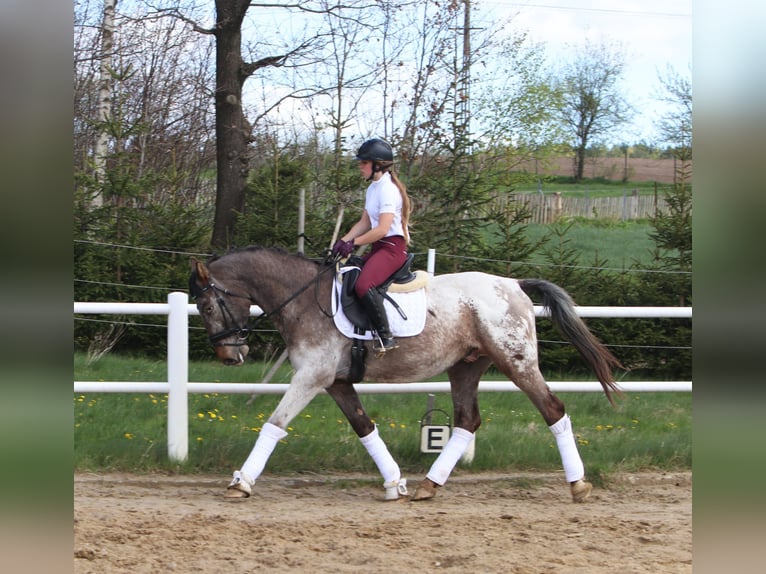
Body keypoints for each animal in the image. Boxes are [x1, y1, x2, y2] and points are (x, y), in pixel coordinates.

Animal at [190, 246, 624, 504]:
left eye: (208, 306)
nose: (230, 356)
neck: (305, 299)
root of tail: (513, 283)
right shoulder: (337, 382)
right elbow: (365, 428)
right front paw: (394, 482)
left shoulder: (311, 378)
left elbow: (274, 424)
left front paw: (241, 482)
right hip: (466, 366)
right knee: (467, 420)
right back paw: (429, 485)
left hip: (515, 362)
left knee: (553, 410)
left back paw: (578, 484)